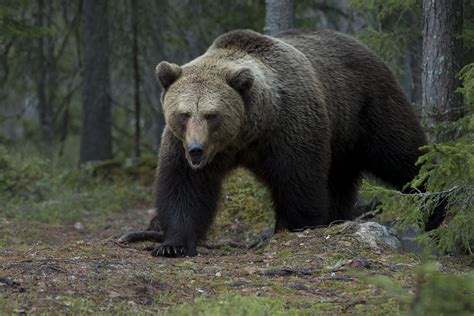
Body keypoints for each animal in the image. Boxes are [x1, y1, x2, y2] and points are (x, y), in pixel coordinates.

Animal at [145, 29, 426, 256]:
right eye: (184, 113)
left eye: (212, 114)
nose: (196, 150)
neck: (246, 135)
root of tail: (363, 45)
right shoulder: (182, 145)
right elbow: (184, 187)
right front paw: (172, 245)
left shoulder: (289, 128)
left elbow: (298, 182)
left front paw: (292, 227)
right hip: (341, 138)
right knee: (340, 181)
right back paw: (337, 218)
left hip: (368, 107)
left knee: (403, 155)